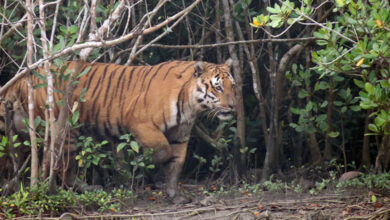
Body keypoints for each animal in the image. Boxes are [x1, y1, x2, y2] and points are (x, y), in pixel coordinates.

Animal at [0, 58, 236, 203]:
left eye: (232, 86)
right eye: (217, 87)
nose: (233, 105)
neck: (191, 104)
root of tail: (23, 79)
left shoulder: (181, 135)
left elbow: (175, 165)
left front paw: (174, 195)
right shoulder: (141, 123)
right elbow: (163, 151)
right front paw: (143, 164)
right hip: (66, 129)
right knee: (59, 166)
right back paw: (75, 190)